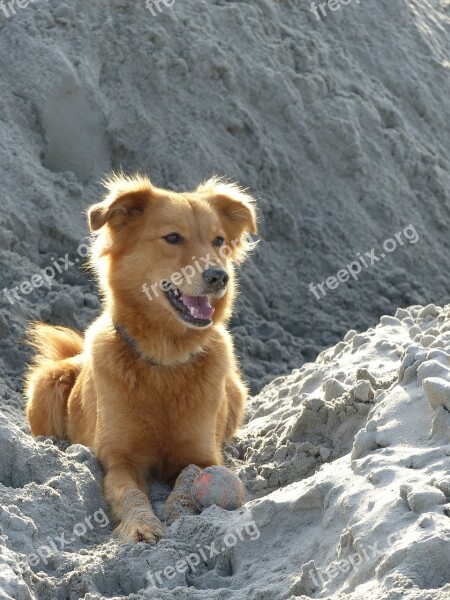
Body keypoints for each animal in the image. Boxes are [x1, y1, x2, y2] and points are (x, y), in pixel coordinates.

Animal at [23, 173, 256, 544]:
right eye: (172, 237)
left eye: (218, 240)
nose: (219, 276)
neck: (164, 362)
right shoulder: (120, 459)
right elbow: (130, 493)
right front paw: (141, 525)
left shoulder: (203, 454)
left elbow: (191, 477)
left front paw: (178, 509)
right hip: (47, 383)